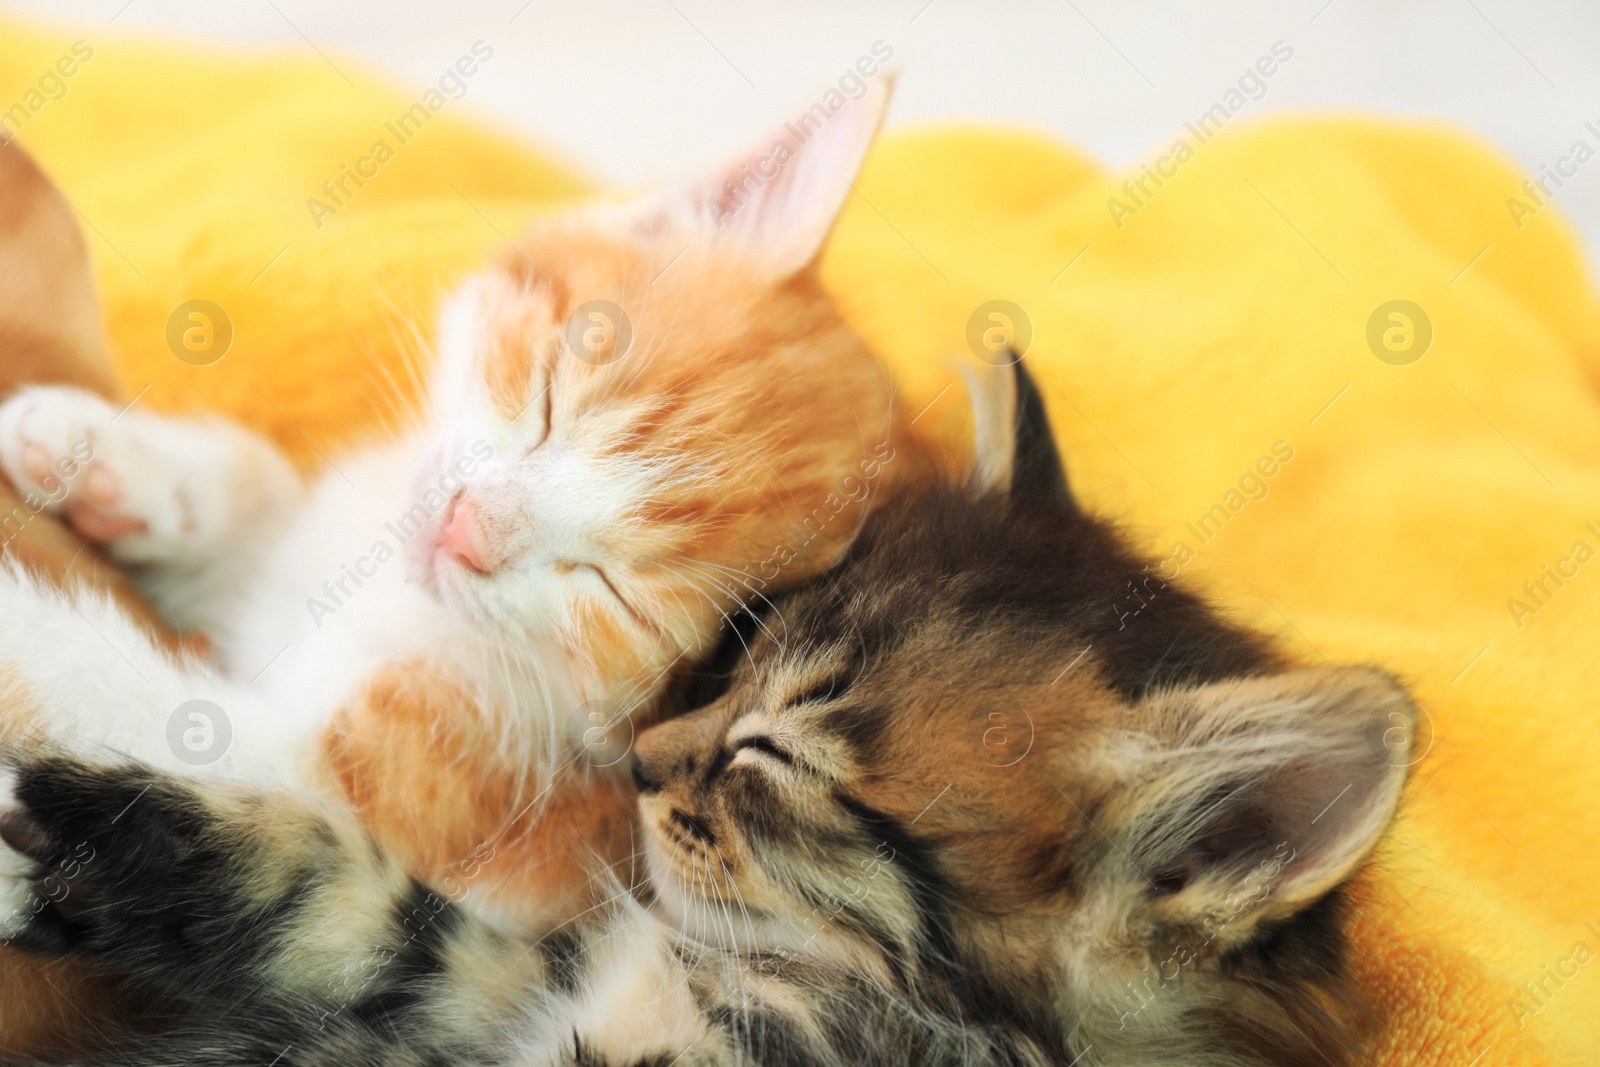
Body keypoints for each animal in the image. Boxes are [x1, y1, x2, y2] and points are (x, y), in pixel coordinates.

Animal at [0, 77, 934, 927]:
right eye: (552, 396)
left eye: (621, 596)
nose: (464, 529)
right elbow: (264, 500)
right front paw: (101, 454)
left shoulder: (378, 800)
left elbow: (156, 715)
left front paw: (30, 629)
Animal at [0, 363, 1414, 1062]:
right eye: (734, 658)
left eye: (771, 756)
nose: (638, 759)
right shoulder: (505, 985)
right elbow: (354, 905)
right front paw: (86, 848)